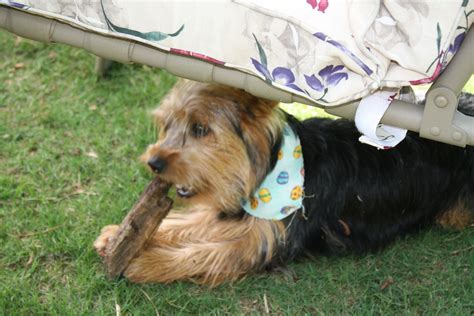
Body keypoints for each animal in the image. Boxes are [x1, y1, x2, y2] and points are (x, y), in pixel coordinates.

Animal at [93, 80, 474, 286]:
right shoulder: (240, 210)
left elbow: (206, 253)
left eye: (200, 129)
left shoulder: (267, 239)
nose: (154, 163)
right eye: (167, 125)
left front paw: (146, 263)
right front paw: (117, 236)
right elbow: (194, 221)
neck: (271, 167)